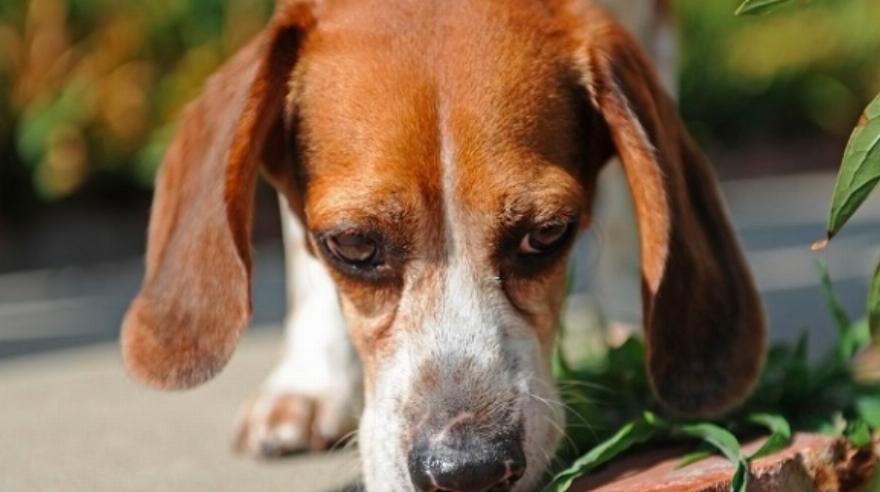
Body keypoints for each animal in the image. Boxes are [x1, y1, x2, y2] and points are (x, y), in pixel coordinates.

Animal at [120, 1, 766, 490]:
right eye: (352, 244)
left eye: (547, 233)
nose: (467, 471)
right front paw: (311, 380)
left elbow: (630, 211)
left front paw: (631, 333)